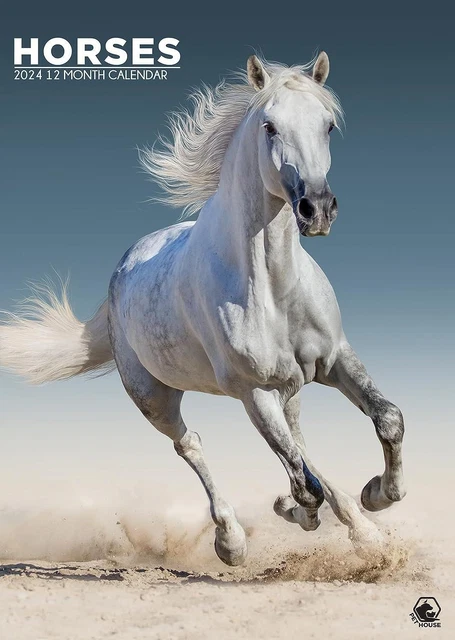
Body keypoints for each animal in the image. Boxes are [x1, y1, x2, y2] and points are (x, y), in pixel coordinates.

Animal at [0, 53, 406, 566]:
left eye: (328, 125)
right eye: (269, 126)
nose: (317, 209)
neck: (273, 286)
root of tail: (121, 271)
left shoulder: (334, 359)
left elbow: (386, 419)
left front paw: (377, 496)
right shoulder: (254, 391)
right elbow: (303, 482)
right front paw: (298, 511)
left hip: (290, 386)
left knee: (299, 442)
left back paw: (362, 530)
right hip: (154, 398)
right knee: (192, 445)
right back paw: (231, 540)